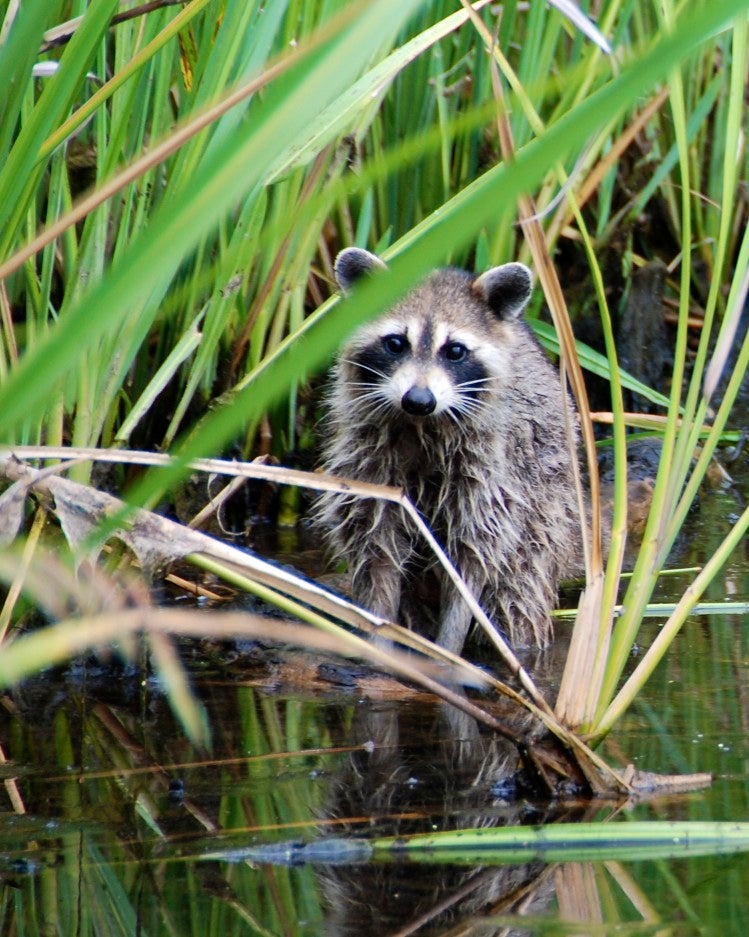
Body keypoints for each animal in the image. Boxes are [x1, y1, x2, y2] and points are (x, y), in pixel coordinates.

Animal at [315, 247, 581, 653]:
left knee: (518, 591)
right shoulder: (367, 460)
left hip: (546, 511)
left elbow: (472, 560)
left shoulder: (490, 473)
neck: (422, 425)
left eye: (455, 351)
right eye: (396, 343)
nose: (419, 400)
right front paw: (378, 640)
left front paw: (449, 647)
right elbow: (376, 548)